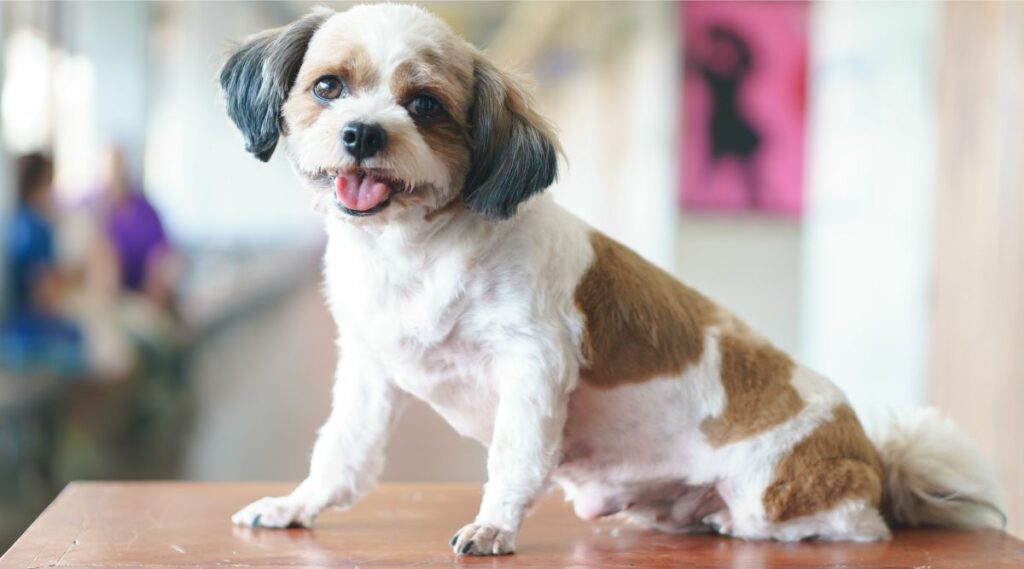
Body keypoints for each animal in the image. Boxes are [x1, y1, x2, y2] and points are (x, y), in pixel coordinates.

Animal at [220, 4, 1003, 556]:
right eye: (328, 87)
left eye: (424, 105)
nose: (363, 132)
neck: (414, 250)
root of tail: (871, 452)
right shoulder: (370, 366)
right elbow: (343, 452)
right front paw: (296, 505)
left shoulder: (534, 361)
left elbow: (515, 455)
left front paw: (494, 526)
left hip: (782, 495)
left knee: (858, 526)